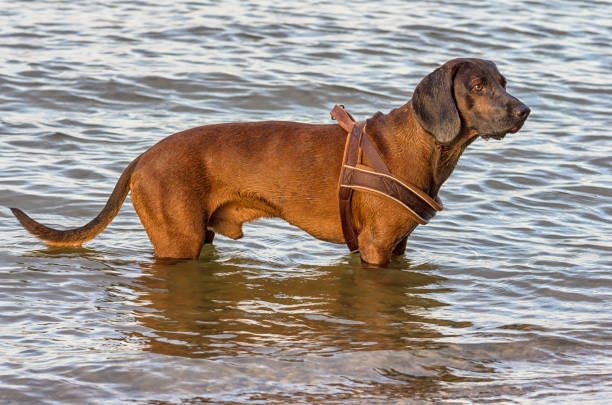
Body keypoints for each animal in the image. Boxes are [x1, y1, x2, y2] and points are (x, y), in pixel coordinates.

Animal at [13, 57, 532, 266]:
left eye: (503, 82)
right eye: (478, 86)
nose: (524, 110)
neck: (422, 144)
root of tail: (142, 156)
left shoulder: (398, 247)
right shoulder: (376, 249)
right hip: (178, 242)